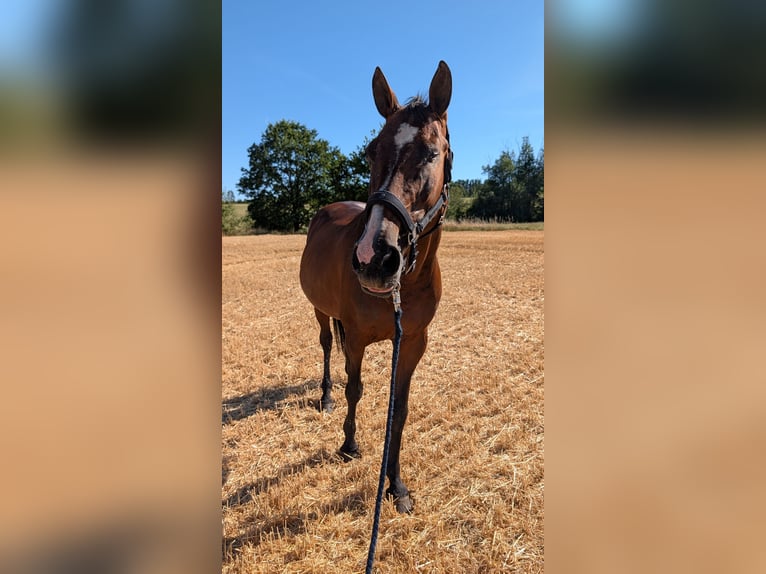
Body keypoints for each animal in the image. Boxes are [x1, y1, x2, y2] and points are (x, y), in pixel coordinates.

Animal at [299, 61, 452, 514]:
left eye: (431, 153)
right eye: (370, 151)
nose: (374, 257)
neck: (407, 282)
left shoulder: (414, 341)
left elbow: (398, 410)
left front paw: (395, 485)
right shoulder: (357, 338)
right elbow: (355, 389)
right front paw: (349, 444)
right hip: (321, 311)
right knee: (326, 346)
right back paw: (325, 396)